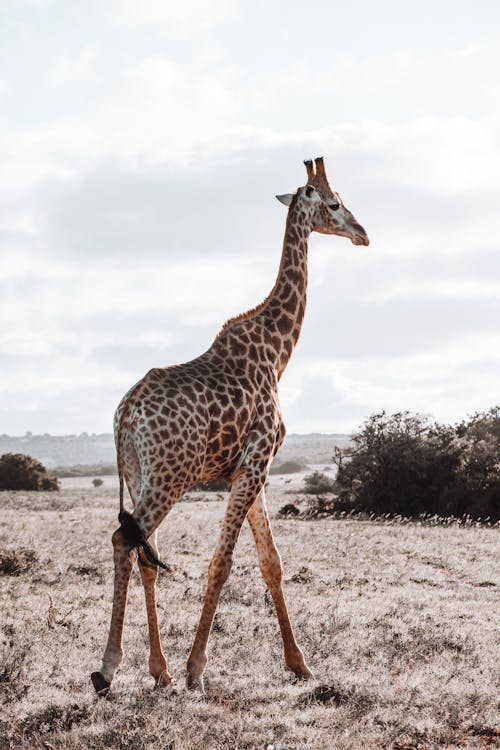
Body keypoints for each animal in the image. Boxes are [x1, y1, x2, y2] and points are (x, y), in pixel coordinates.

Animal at [92, 157, 370, 700]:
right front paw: (198, 668)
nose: (363, 234)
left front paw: (299, 664)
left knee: (143, 552)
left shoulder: (251, 468)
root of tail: (125, 416)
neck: (277, 352)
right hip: (169, 477)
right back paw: (108, 669)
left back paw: (157, 670)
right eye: (333, 203)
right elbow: (222, 564)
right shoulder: (256, 462)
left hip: (138, 476)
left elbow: (271, 562)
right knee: (124, 542)